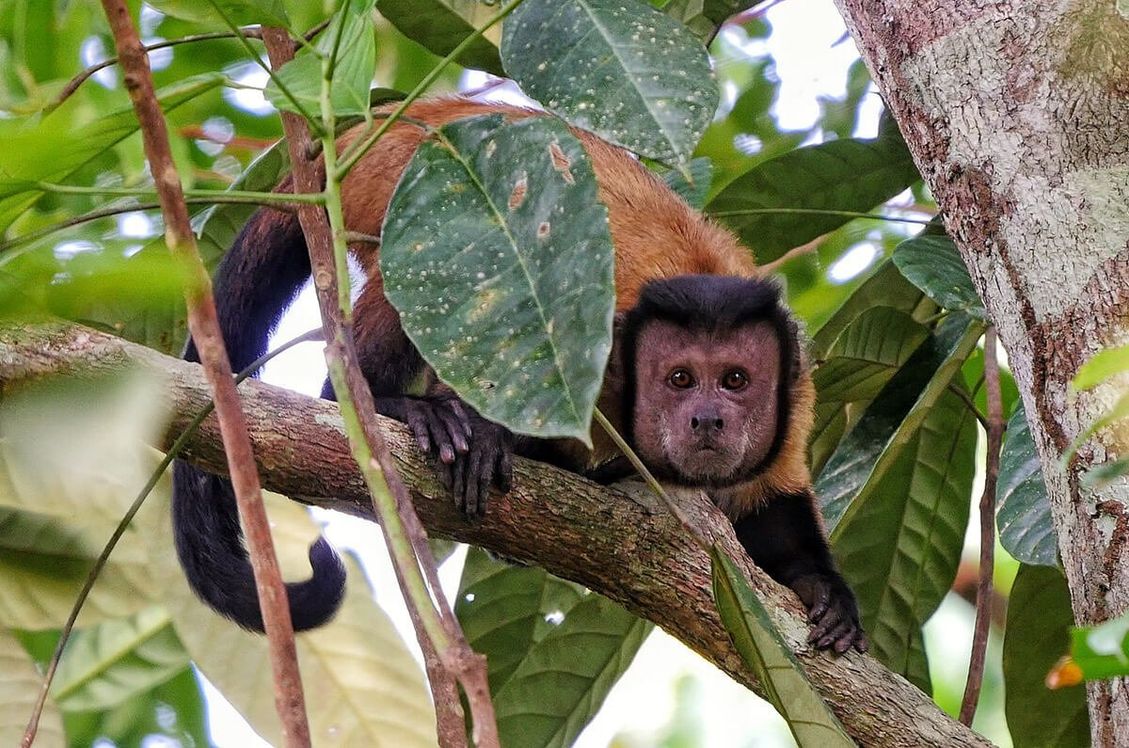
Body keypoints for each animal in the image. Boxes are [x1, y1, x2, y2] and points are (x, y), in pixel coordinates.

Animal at [172, 97, 865, 654]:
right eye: (679, 379)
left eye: (736, 381)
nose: (707, 419)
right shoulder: (599, 353)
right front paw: (482, 436)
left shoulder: (793, 403)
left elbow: (773, 509)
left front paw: (825, 590)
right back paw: (396, 404)